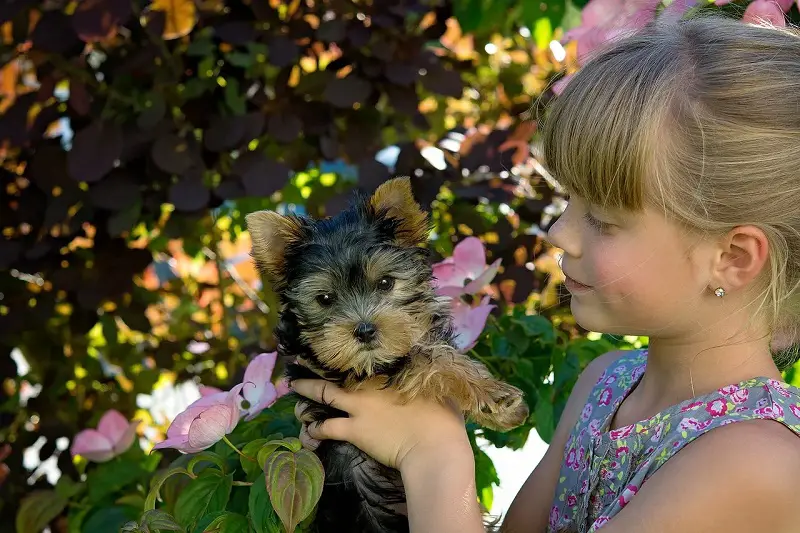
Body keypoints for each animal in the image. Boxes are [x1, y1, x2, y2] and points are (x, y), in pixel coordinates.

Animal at [247, 177, 528, 528]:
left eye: (385, 282)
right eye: (324, 298)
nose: (365, 330)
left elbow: (431, 350)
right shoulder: (346, 371)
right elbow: (427, 359)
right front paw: (496, 398)